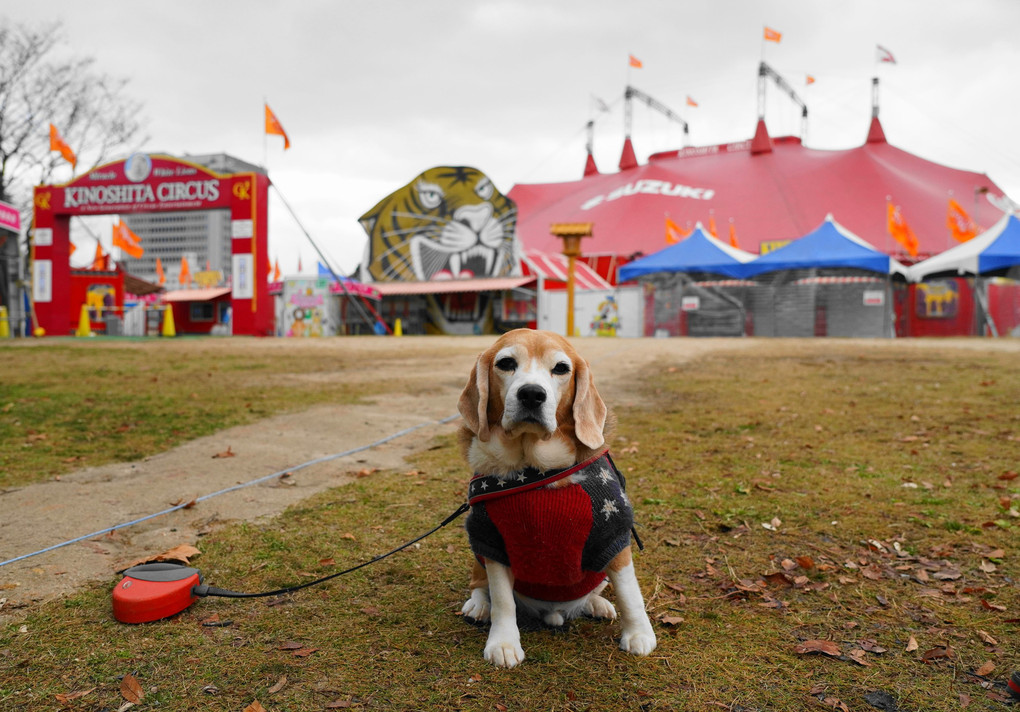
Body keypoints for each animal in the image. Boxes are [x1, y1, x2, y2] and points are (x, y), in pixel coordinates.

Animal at [459, 326, 656, 665]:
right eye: (506, 363)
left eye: (561, 368)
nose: (531, 394)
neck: (538, 472)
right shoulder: (491, 539)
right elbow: (502, 600)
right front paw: (503, 642)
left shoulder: (613, 533)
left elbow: (630, 591)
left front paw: (639, 634)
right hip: (478, 554)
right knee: (481, 586)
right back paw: (479, 605)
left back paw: (597, 604)